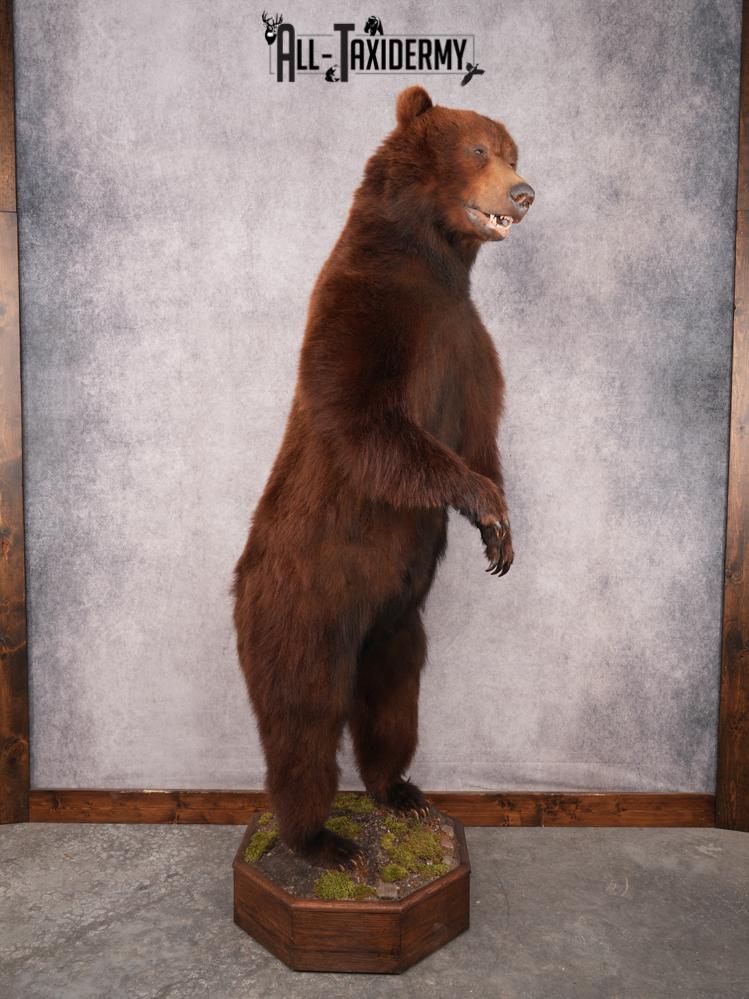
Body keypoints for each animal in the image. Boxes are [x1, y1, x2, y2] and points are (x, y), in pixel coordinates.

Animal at [232, 85, 534, 869]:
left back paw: (399, 791)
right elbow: (362, 417)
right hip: (301, 605)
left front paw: (501, 536)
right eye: (478, 151)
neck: (435, 263)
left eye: (511, 150)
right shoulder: (369, 309)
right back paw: (318, 838)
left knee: (393, 696)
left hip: (397, 622)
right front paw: (486, 504)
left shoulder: (468, 343)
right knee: (302, 718)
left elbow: (479, 432)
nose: (523, 192)